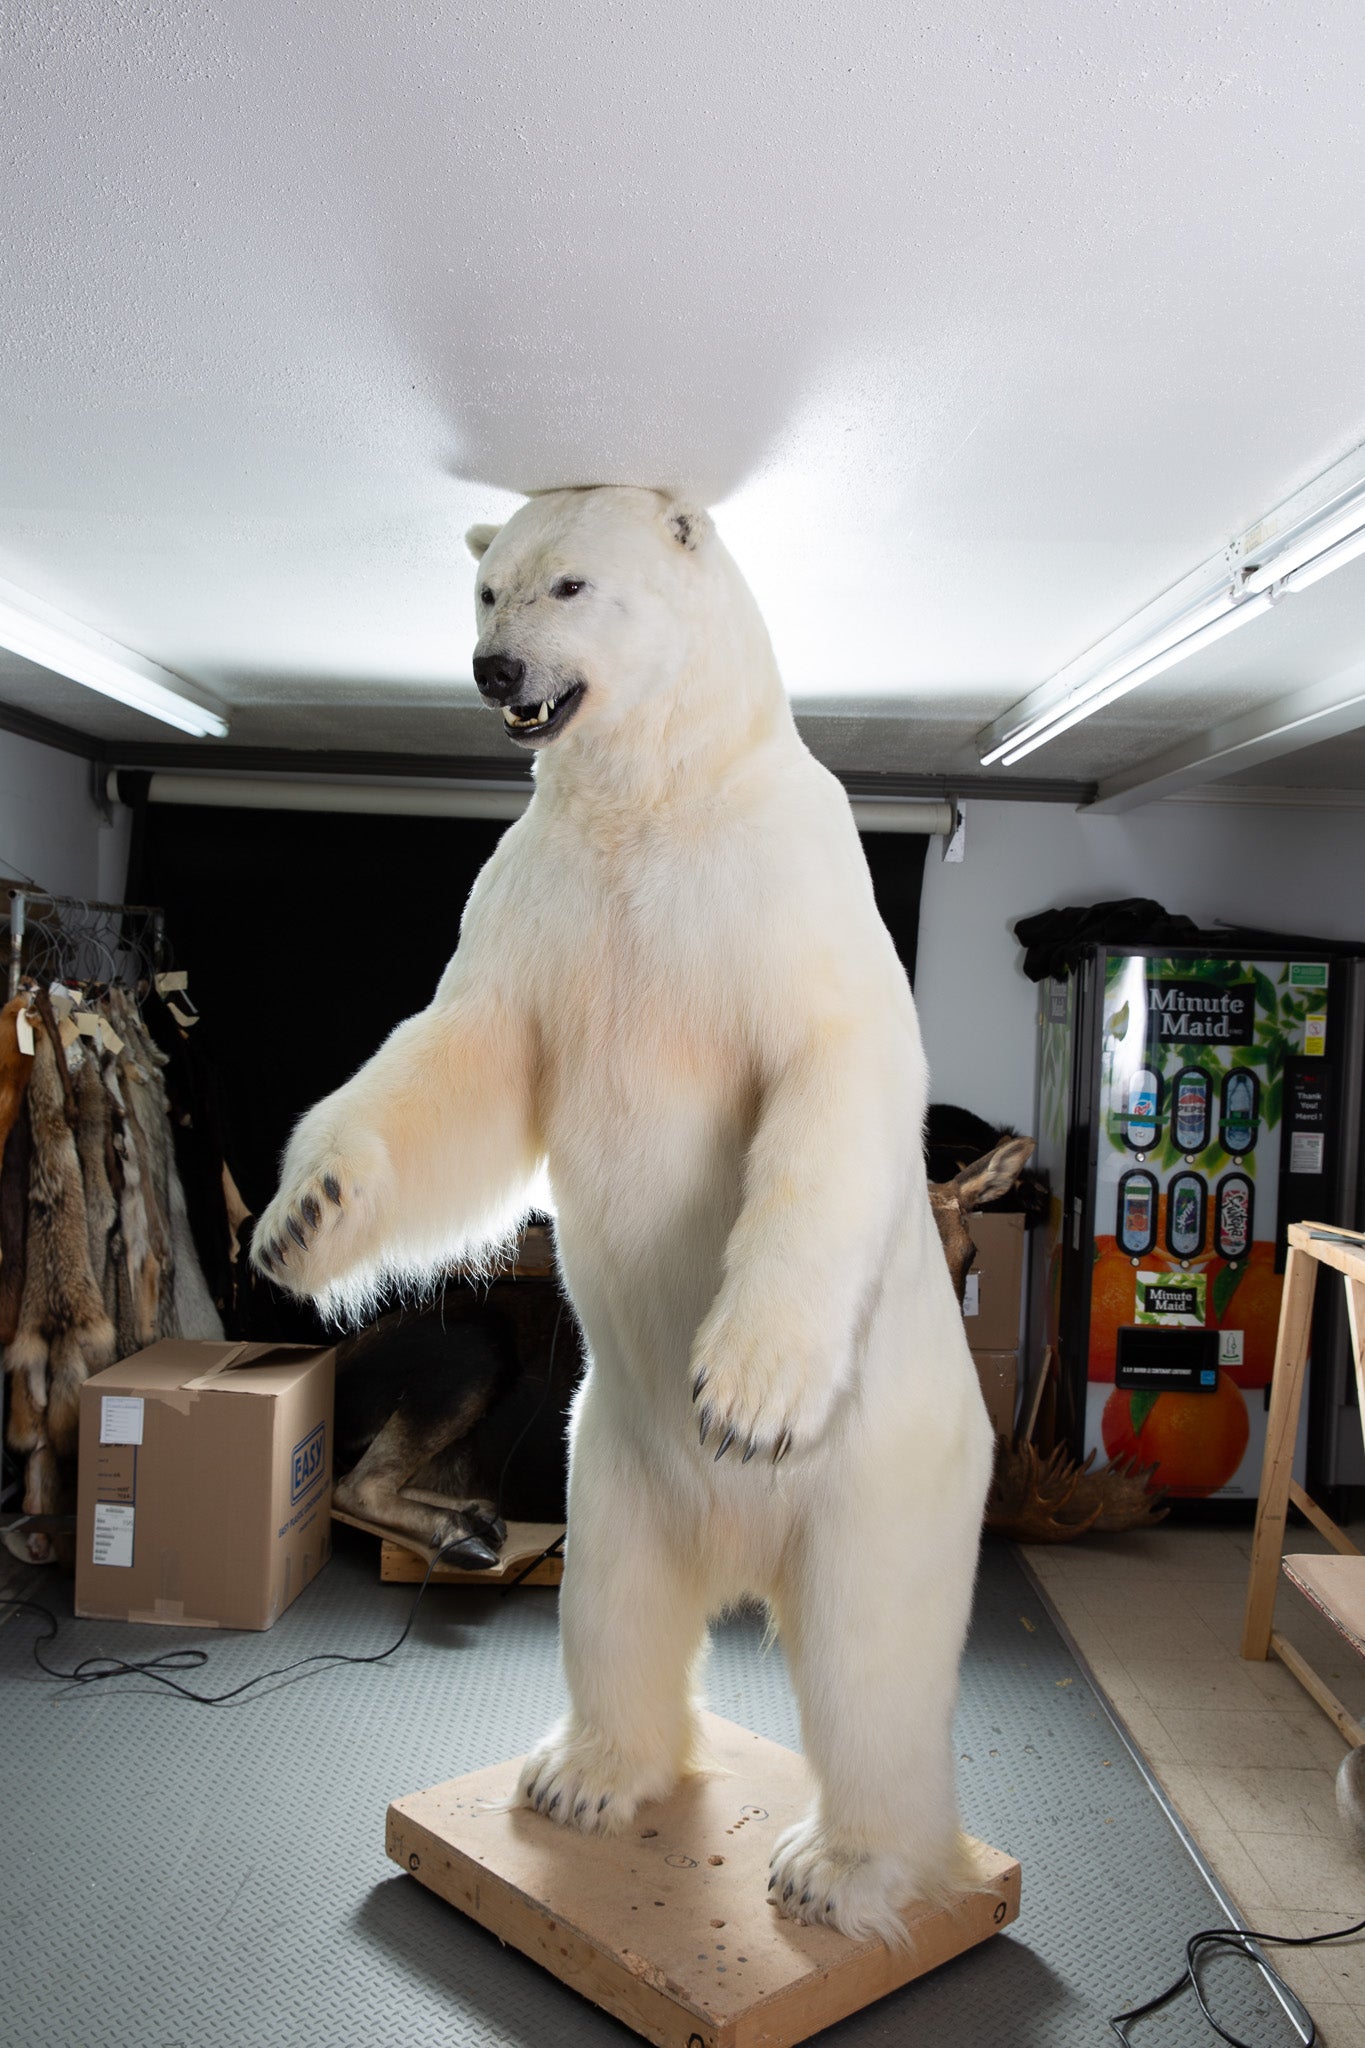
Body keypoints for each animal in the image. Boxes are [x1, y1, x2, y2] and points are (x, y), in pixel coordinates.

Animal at [251, 484, 994, 1946]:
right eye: (489, 589)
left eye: (572, 585)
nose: (494, 671)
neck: (654, 797)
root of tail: (743, 1552)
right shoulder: (540, 907)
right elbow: (464, 1061)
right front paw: (305, 1215)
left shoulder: (782, 883)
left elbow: (830, 1069)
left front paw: (748, 1390)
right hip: (609, 1459)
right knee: (616, 1606)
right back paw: (585, 1773)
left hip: (883, 1483)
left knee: (872, 1664)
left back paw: (846, 1867)